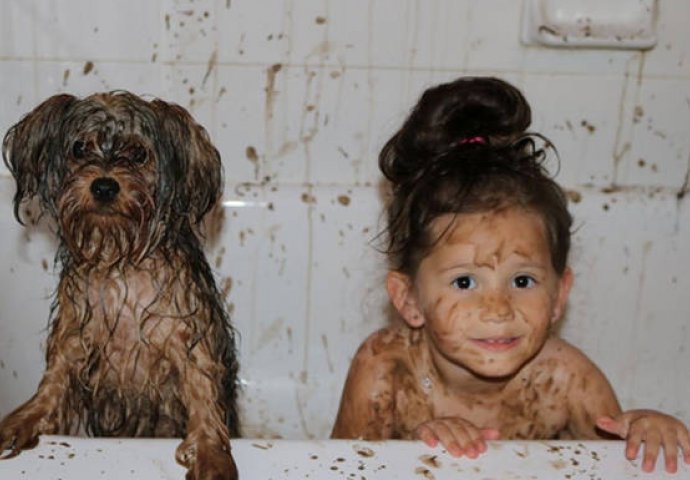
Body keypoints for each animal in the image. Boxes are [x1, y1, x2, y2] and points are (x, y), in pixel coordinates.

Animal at [0, 92, 239, 478]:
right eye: (79, 148)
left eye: (139, 153)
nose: (104, 185)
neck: (121, 260)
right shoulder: (76, 332)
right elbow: (54, 378)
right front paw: (25, 418)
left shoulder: (189, 336)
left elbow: (202, 389)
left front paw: (211, 454)